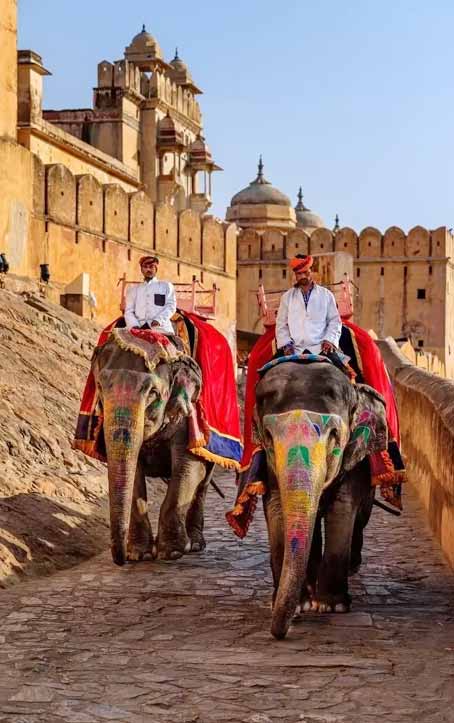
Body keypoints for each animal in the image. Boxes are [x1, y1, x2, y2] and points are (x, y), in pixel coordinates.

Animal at [92, 336, 214, 567]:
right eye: (100, 387)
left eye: (153, 393)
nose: (121, 560)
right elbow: (135, 477)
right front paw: (139, 554)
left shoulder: (188, 417)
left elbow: (189, 468)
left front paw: (172, 552)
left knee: (202, 483)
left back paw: (195, 544)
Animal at [254, 360, 387, 639]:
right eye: (269, 436)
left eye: (335, 435)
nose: (277, 633)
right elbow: (276, 508)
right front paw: (297, 606)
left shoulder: (354, 458)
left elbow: (343, 509)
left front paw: (332, 606)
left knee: (360, 518)